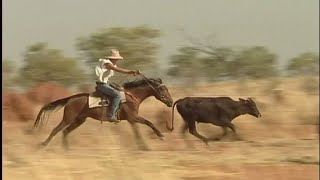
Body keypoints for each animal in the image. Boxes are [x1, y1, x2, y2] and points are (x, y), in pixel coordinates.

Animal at [33, 76, 174, 150]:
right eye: (163, 89)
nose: (171, 102)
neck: (132, 96)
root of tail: (71, 98)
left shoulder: (132, 120)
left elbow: (139, 130)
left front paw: (145, 145)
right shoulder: (133, 118)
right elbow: (148, 124)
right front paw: (156, 139)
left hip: (79, 120)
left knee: (65, 131)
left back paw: (67, 150)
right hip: (69, 118)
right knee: (56, 130)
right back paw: (43, 145)